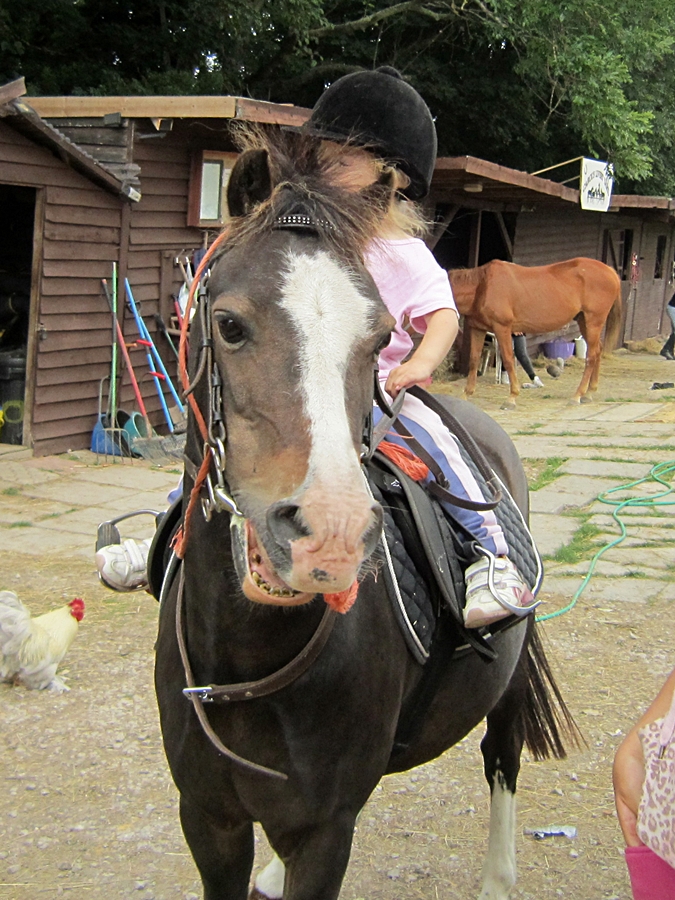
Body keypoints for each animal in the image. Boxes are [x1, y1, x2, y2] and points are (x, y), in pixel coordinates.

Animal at [154, 130, 576, 900]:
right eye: (228, 325)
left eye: (380, 338)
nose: (329, 534)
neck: (247, 661)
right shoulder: (206, 817)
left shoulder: (326, 831)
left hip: (504, 685)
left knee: (501, 759)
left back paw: (498, 878)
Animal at [448, 258, 622, 407]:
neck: (482, 286)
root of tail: (611, 271)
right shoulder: (478, 329)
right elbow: (473, 360)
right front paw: (466, 394)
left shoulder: (502, 328)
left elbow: (509, 360)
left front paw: (512, 397)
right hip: (583, 321)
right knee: (597, 351)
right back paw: (589, 393)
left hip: (594, 321)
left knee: (591, 356)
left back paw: (577, 395)